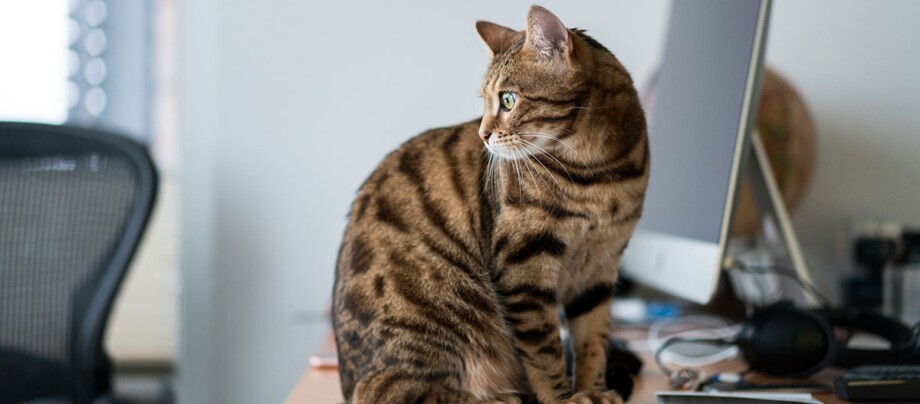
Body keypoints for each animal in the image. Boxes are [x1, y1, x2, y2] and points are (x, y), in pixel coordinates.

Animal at [330, 6, 648, 404]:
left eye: (508, 99)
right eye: (484, 100)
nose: (482, 134)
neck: (600, 173)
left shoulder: (601, 267)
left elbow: (593, 340)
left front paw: (594, 390)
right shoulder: (523, 267)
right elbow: (545, 351)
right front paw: (564, 398)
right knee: (391, 391)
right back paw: (501, 398)